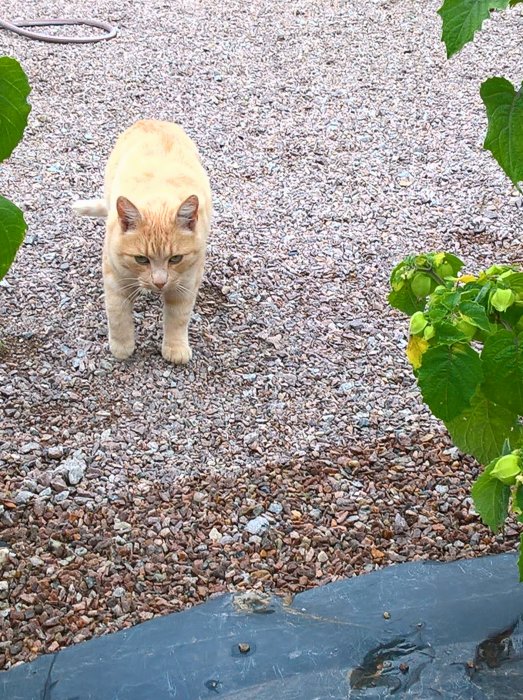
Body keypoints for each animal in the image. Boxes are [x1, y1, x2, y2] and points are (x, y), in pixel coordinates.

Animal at [72, 119, 212, 364]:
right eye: (141, 259)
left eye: (176, 258)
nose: (159, 282)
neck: (158, 199)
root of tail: (152, 120)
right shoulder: (114, 280)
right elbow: (118, 317)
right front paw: (122, 348)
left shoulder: (187, 282)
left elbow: (178, 318)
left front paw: (175, 348)